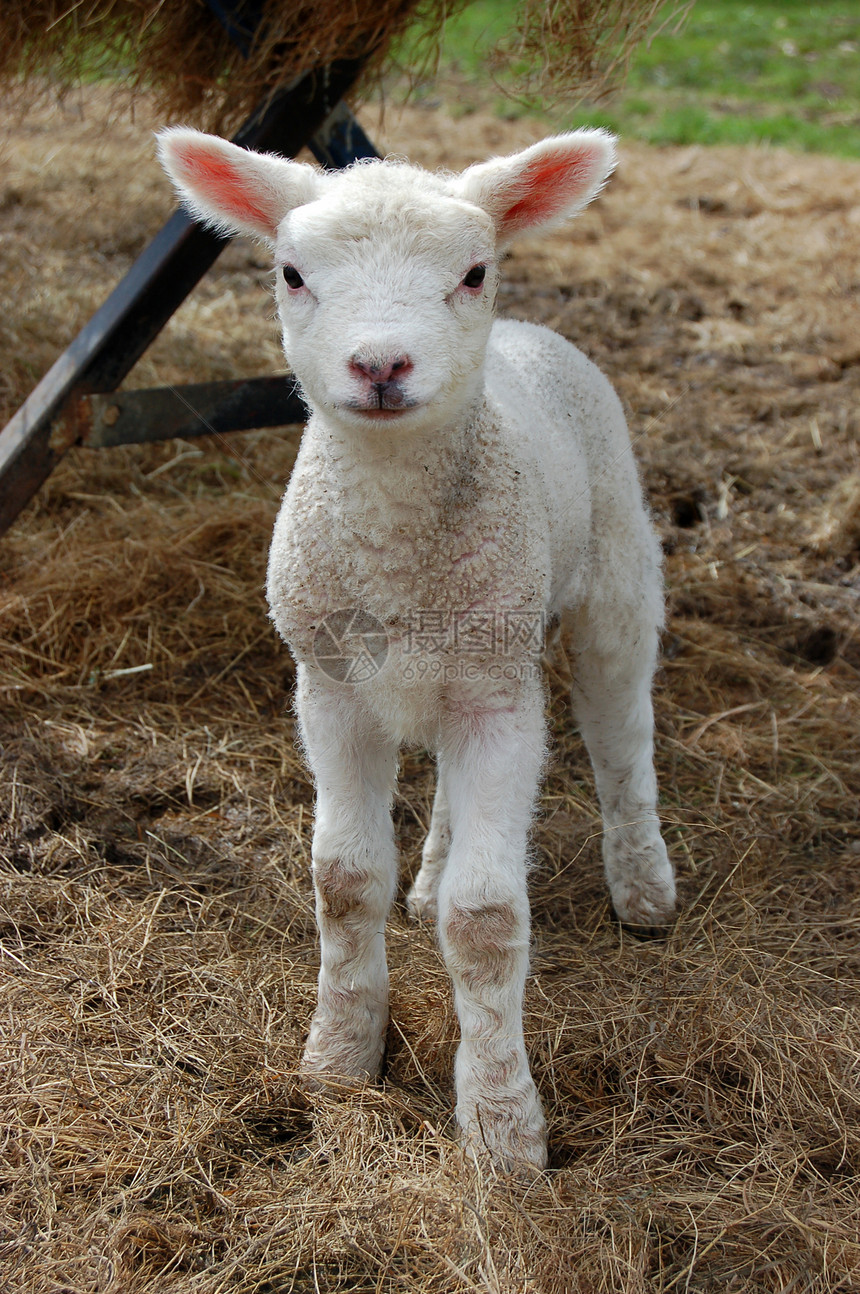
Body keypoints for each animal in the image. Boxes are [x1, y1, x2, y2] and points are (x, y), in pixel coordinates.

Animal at [157, 126, 672, 1169]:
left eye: (473, 272)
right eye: (291, 273)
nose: (381, 365)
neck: (395, 546)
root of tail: (532, 336)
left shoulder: (501, 699)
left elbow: (487, 919)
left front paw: (503, 1131)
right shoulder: (330, 687)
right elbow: (344, 882)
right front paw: (338, 1059)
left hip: (609, 573)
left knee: (620, 725)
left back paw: (643, 885)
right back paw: (429, 876)